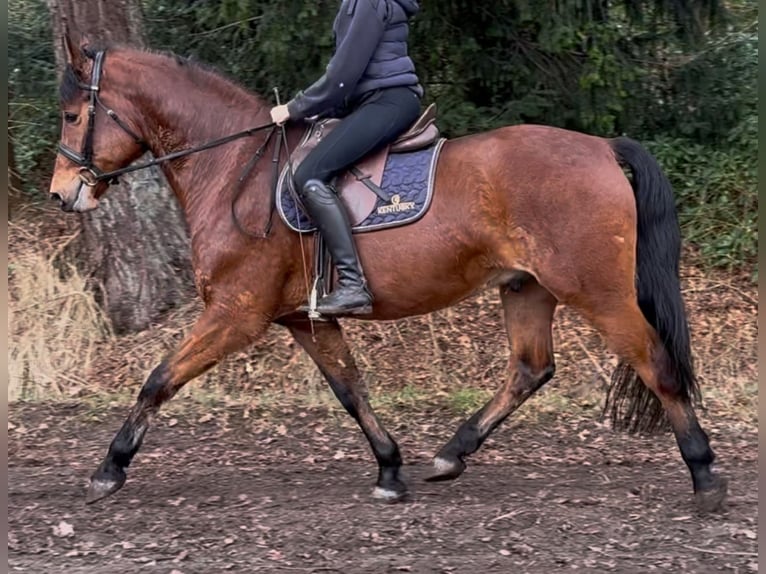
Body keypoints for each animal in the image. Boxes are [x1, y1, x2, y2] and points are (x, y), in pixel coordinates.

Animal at [45, 33, 728, 512]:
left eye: (75, 115)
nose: (61, 195)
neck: (235, 166)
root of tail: (602, 147)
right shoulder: (304, 319)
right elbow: (351, 391)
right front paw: (391, 469)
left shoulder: (236, 313)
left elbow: (158, 380)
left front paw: (109, 468)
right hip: (525, 287)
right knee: (530, 369)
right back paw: (450, 455)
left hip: (598, 291)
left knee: (657, 363)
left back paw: (704, 476)